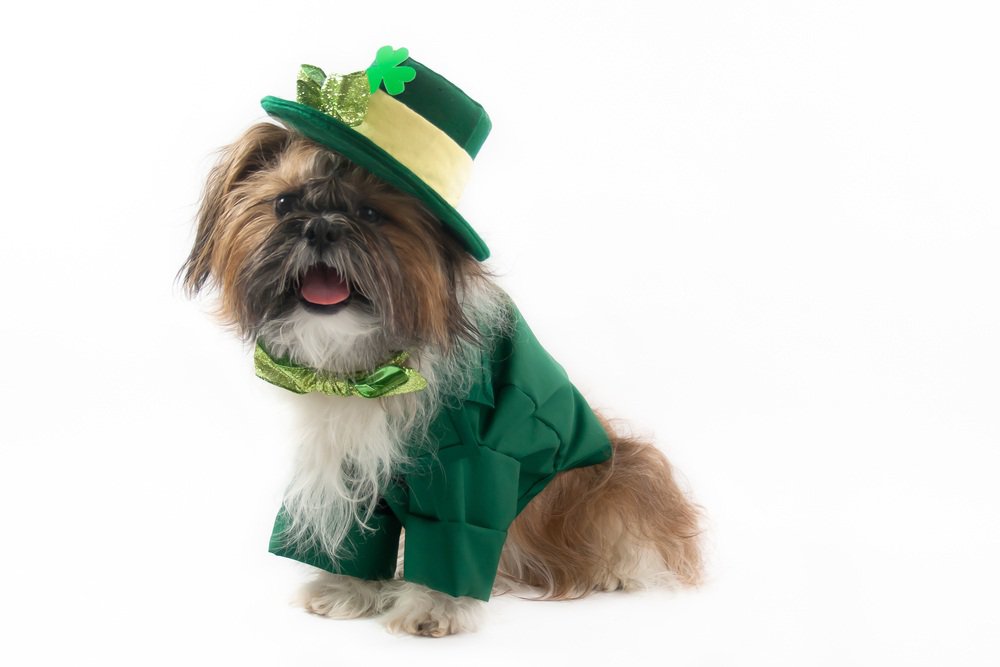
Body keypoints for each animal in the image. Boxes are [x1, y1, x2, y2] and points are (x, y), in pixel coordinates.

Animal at [186, 47, 704, 636]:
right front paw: (346, 591)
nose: (320, 227)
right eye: (284, 203)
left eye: (371, 213)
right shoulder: (351, 461)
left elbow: (454, 538)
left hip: (601, 483)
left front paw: (433, 608)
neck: (376, 367)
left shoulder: (471, 466)